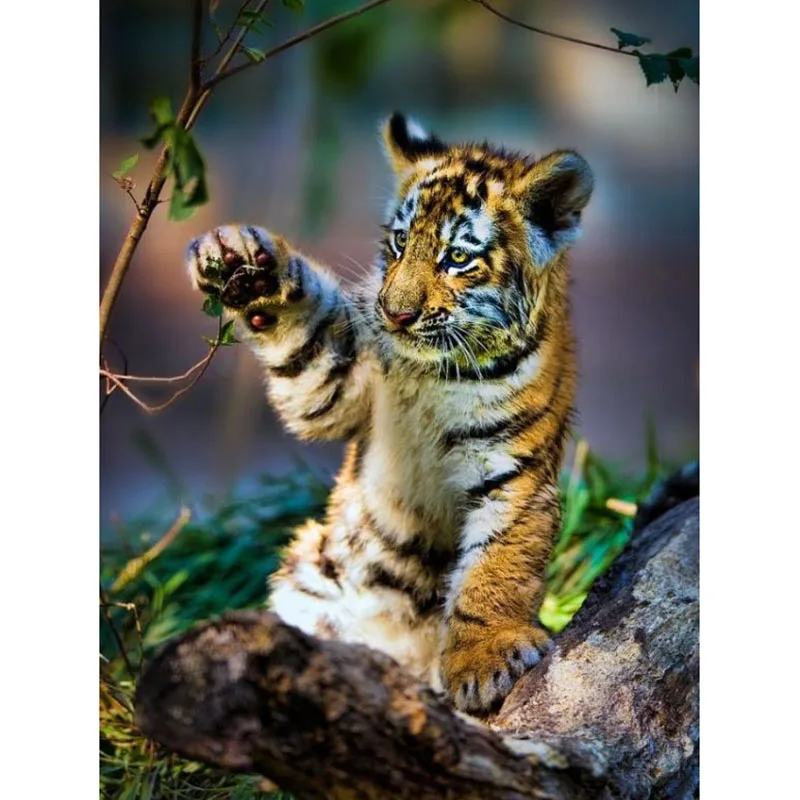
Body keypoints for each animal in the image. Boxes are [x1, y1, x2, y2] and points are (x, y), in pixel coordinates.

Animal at [183, 113, 594, 713]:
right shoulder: (341, 387)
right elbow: (307, 341)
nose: (396, 314)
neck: (437, 372)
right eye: (400, 242)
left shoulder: (513, 470)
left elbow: (496, 567)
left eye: (457, 258)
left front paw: (482, 661)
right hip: (311, 575)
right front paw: (242, 261)